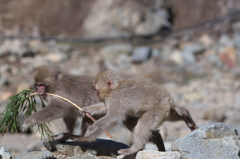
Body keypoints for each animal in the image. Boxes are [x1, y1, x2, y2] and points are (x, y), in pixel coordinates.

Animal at [21, 65, 166, 152]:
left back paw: (85, 139)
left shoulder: (61, 94)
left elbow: (57, 109)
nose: (38, 91)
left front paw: (29, 121)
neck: (55, 85)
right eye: (37, 85)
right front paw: (63, 136)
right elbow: (69, 116)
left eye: (41, 85)